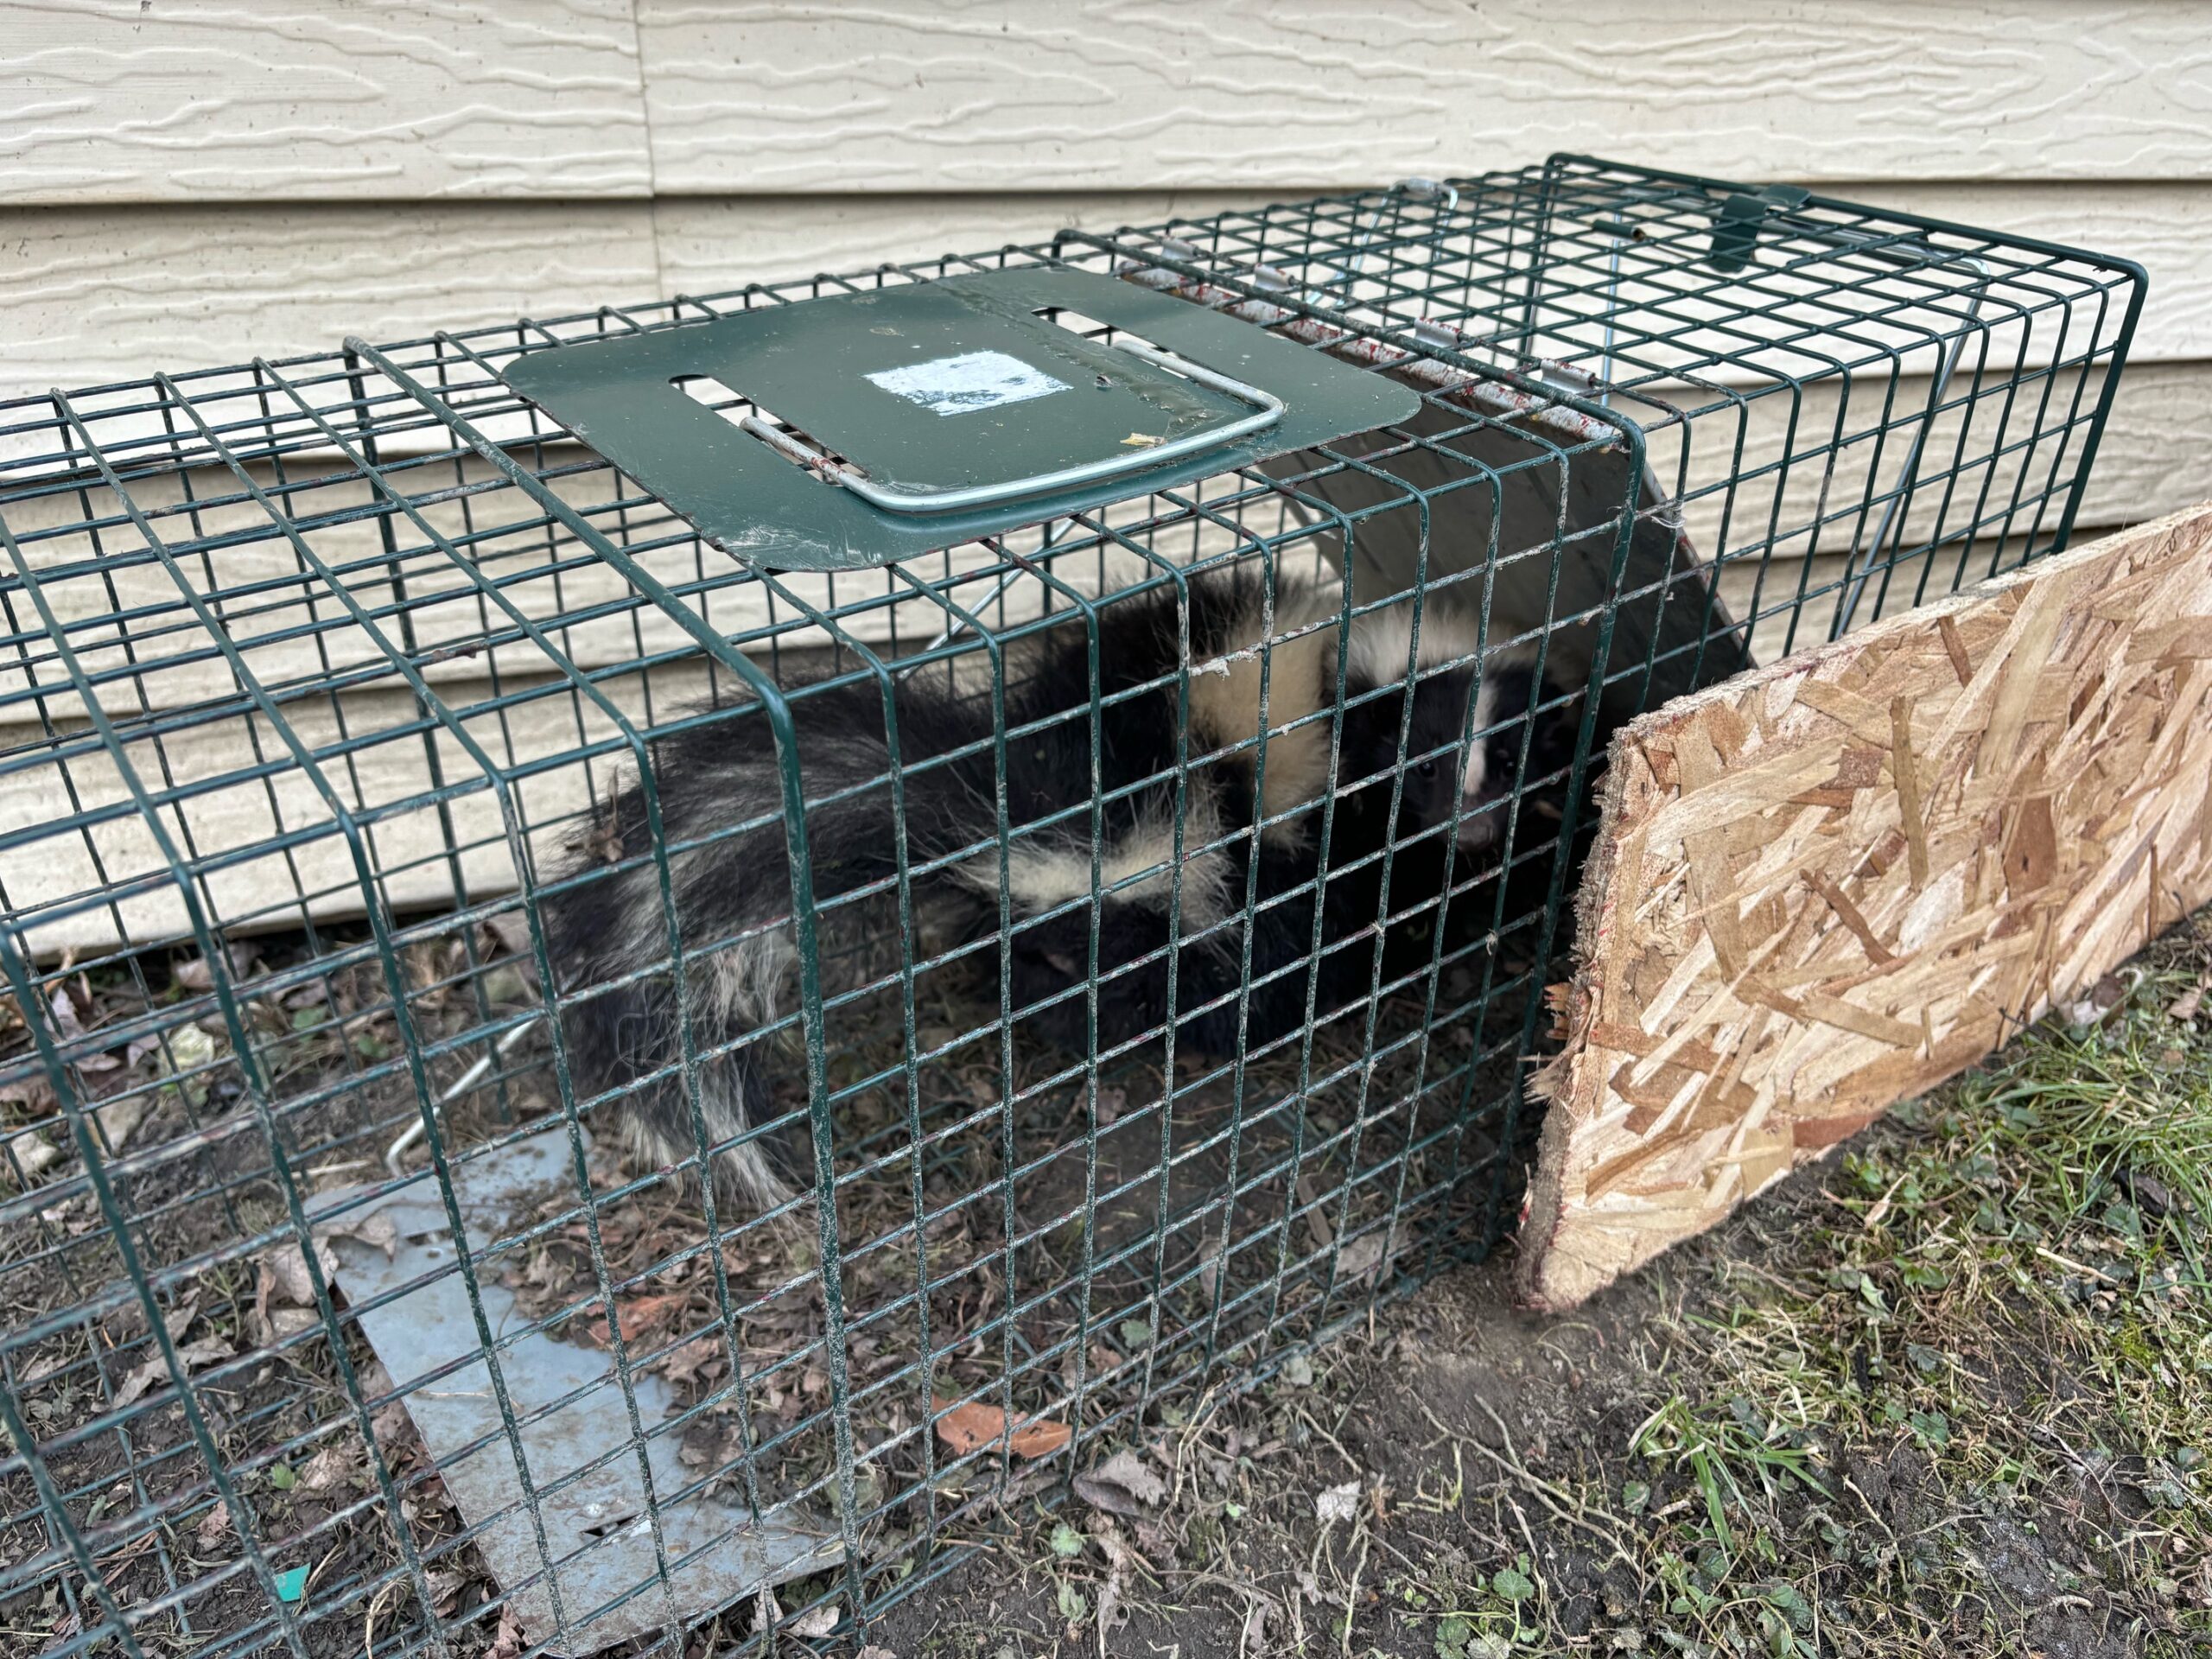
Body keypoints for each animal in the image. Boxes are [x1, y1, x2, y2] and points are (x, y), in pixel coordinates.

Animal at [542, 566, 1566, 1211]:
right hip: (1186, 865)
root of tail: (1002, 799)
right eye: (1420, 766)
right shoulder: (1322, 833)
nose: (1475, 825)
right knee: (1171, 969)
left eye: (1512, 759)